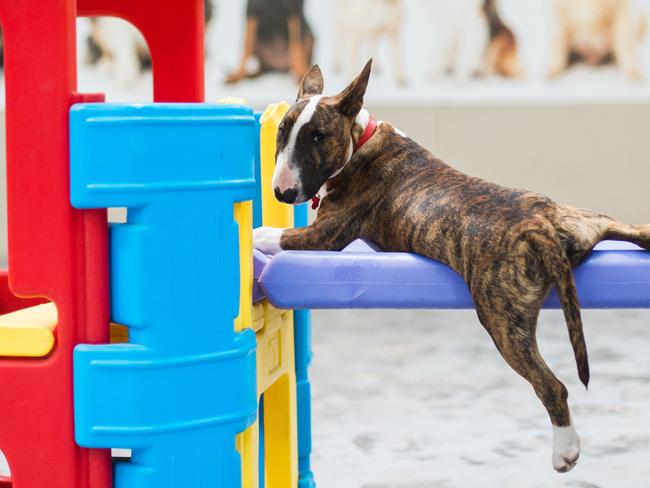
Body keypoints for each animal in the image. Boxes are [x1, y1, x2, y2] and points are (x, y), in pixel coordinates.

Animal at [256, 59, 648, 470]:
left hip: (502, 322)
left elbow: (272, 235)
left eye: (318, 137)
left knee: (551, 386)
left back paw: (565, 452)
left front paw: (255, 234)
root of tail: (539, 224)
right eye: (282, 131)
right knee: (638, 229)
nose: (281, 192)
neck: (361, 140)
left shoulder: (326, 235)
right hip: (597, 222)